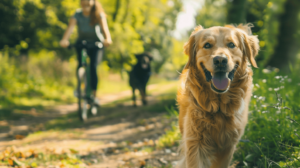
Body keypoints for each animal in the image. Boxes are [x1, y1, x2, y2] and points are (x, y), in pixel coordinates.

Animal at [177, 24, 258, 168]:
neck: (218, 106)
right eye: (207, 45)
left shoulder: (228, 146)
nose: (220, 60)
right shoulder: (194, 143)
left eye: (231, 44)